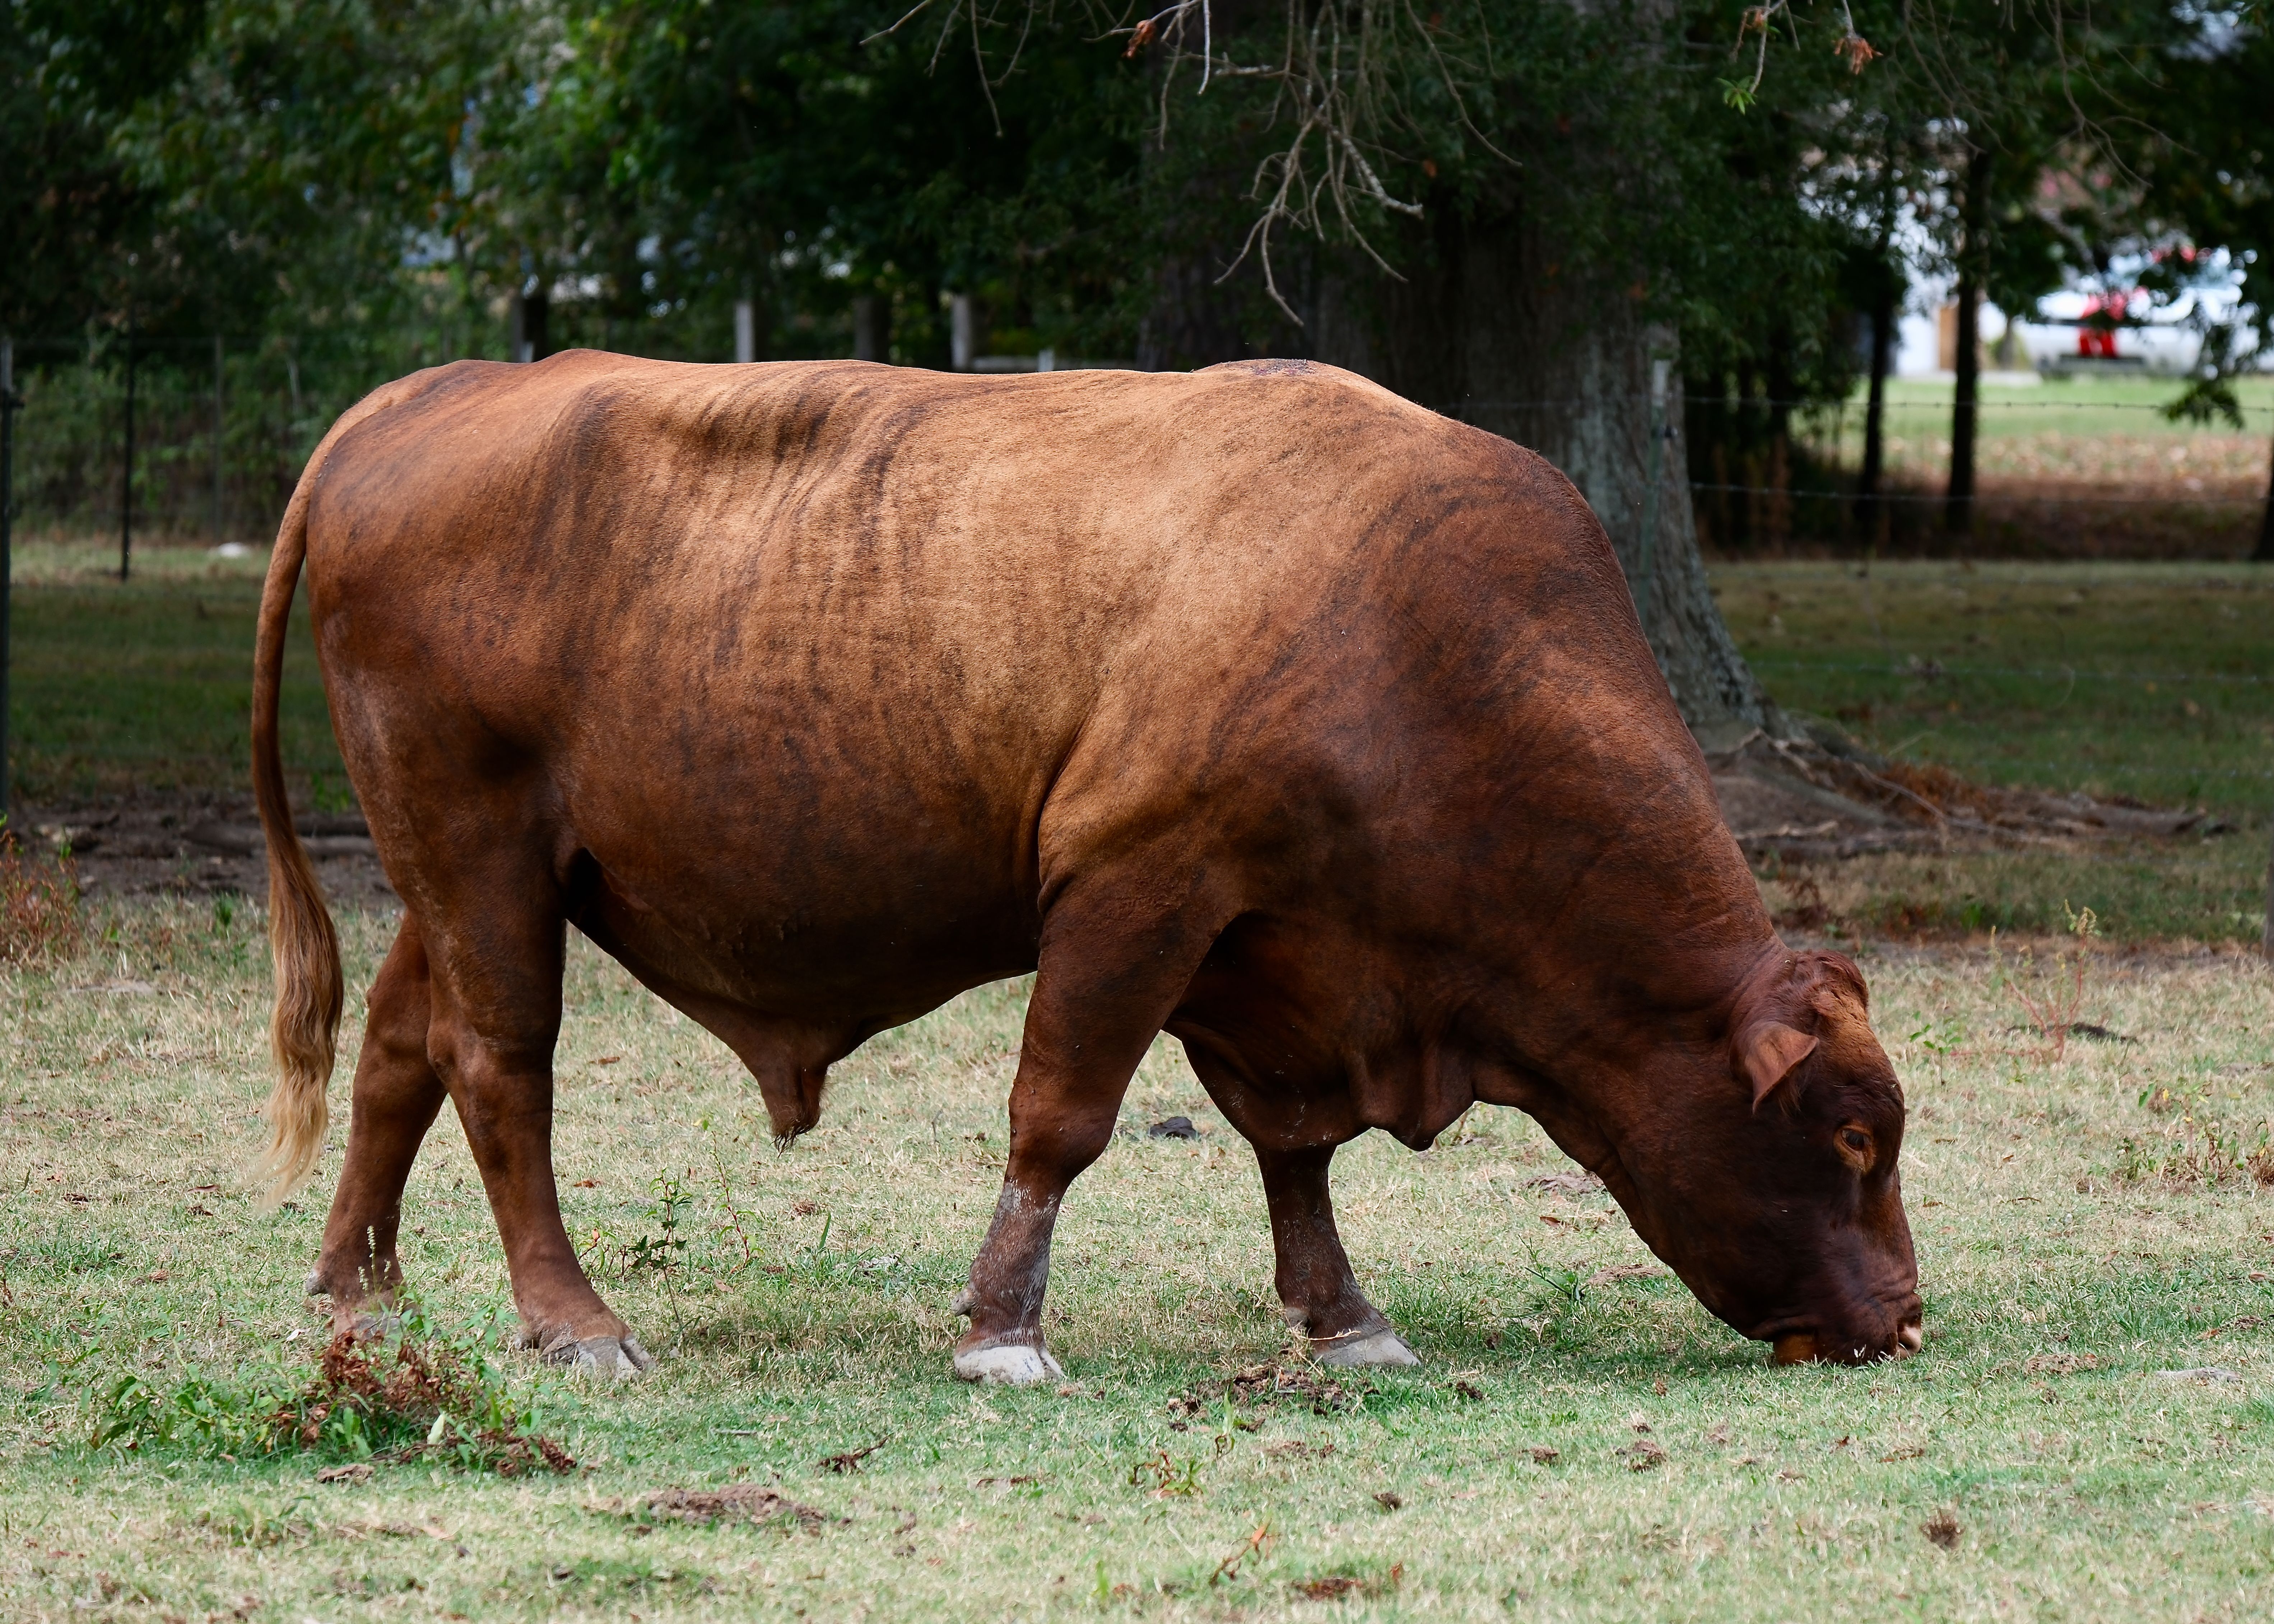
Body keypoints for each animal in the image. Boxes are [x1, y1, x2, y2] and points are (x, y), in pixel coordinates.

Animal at [249, 352, 1920, 1382]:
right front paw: (1002, 1329)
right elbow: (1059, 1117)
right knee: (499, 1066)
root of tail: (430, 394)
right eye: (1847, 1137)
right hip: (478, 851)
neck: (1417, 635)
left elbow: (1292, 1153)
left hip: (470, 874)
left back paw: (351, 1286)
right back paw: (570, 1318)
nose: (1901, 1315)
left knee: (401, 1048)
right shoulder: (1137, 886)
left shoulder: (1273, 953)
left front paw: (1342, 1316)